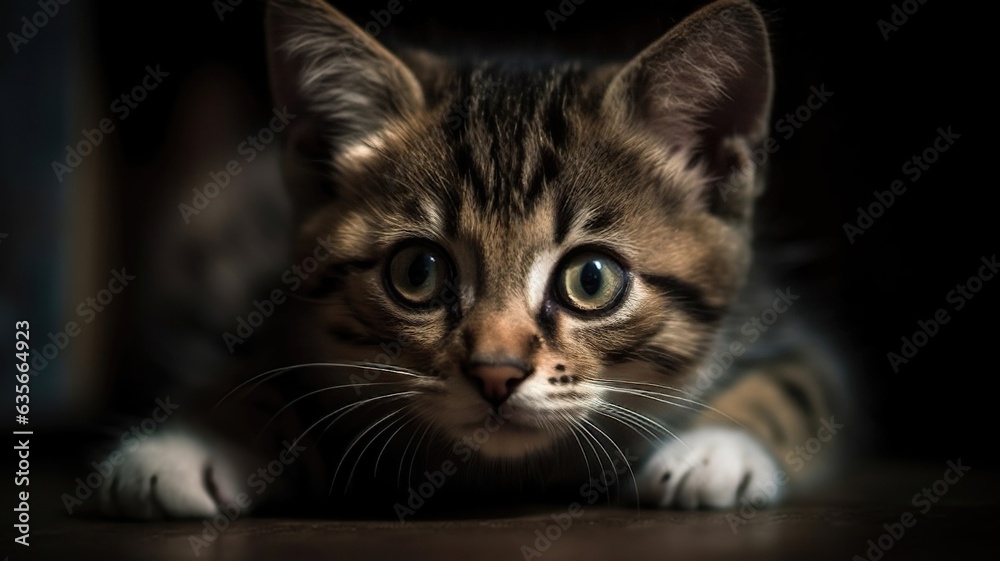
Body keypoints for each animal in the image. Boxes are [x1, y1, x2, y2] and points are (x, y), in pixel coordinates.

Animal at [94, 0, 848, 520]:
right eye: (418, 272)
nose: (495, 372)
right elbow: (249, 372)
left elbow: (799, 381)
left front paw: (714, 446)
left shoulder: (786, 318)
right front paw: (187, 441)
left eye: (592, 278)